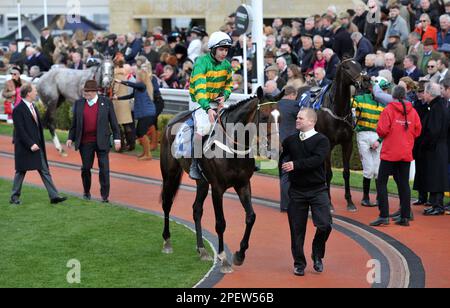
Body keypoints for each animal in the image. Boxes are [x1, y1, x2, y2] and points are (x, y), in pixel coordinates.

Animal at [160, 88, 284, 274]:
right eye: (263, 117)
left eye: (280, 118)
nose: (278, 150)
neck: (233, 148)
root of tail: (170, 121)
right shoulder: (217, 188)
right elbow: (220, 223)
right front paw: (224, 259)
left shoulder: (243, 185)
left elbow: (251, 217)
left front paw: (240, 255)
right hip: (170, 174)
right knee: (167, 203)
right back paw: (167, 242)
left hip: (202, 183)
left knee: (197, 209)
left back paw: (202, 250)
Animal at [298, 58, 362, 212]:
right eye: (347, 67)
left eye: (359, 65)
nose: (364, 80)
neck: (337, 110)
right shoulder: (327, 144)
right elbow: (328, 173)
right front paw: (329, 203)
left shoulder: (347, 143)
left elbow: (346, 172)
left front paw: (350, 202)